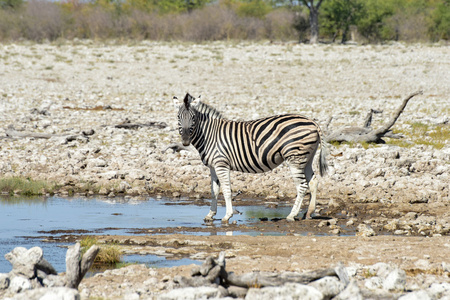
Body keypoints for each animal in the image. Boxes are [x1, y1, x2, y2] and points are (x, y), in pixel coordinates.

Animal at [174, 93, 328, 223]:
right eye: (178, 118)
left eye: (193, 118)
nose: (185, 141)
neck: (209, 135)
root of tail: (312, 122)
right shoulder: (213, 166)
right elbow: (214, 191)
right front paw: (210, 215)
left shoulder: (221, 164)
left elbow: (226, 190)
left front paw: (227, 216)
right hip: (306, 158)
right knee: (313, 181)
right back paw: (309, 213)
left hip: (295, 158)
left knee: (302, 186)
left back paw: (291, 215)